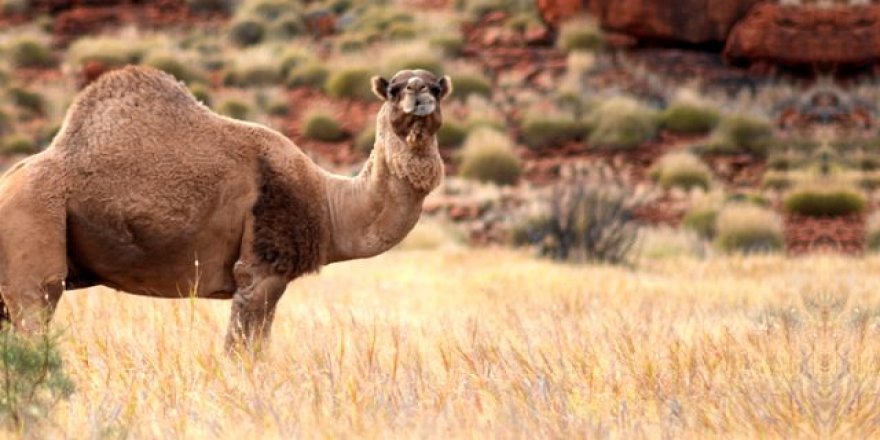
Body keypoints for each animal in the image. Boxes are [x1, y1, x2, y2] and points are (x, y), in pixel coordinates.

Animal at [0, 66, 454, 350]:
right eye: (394, 89)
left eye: (436, 87)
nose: (418, 93)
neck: (330, 205)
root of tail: (8, 183)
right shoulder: (261, 273)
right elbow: (244, 353)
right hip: (33, 228)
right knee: (35, 316)